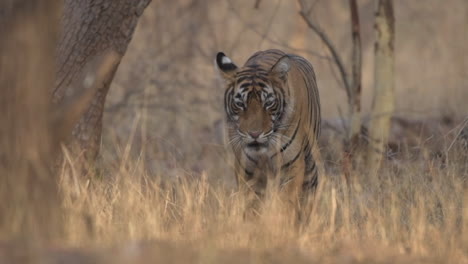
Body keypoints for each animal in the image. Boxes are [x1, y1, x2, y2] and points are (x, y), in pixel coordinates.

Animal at [216, 49, 322, 214]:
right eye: (240, 104)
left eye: (269, 103)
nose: (254, 134)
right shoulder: (247, 170)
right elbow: (252, 206)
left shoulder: (291, 166)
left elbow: (287, 203)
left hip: (309, 164)